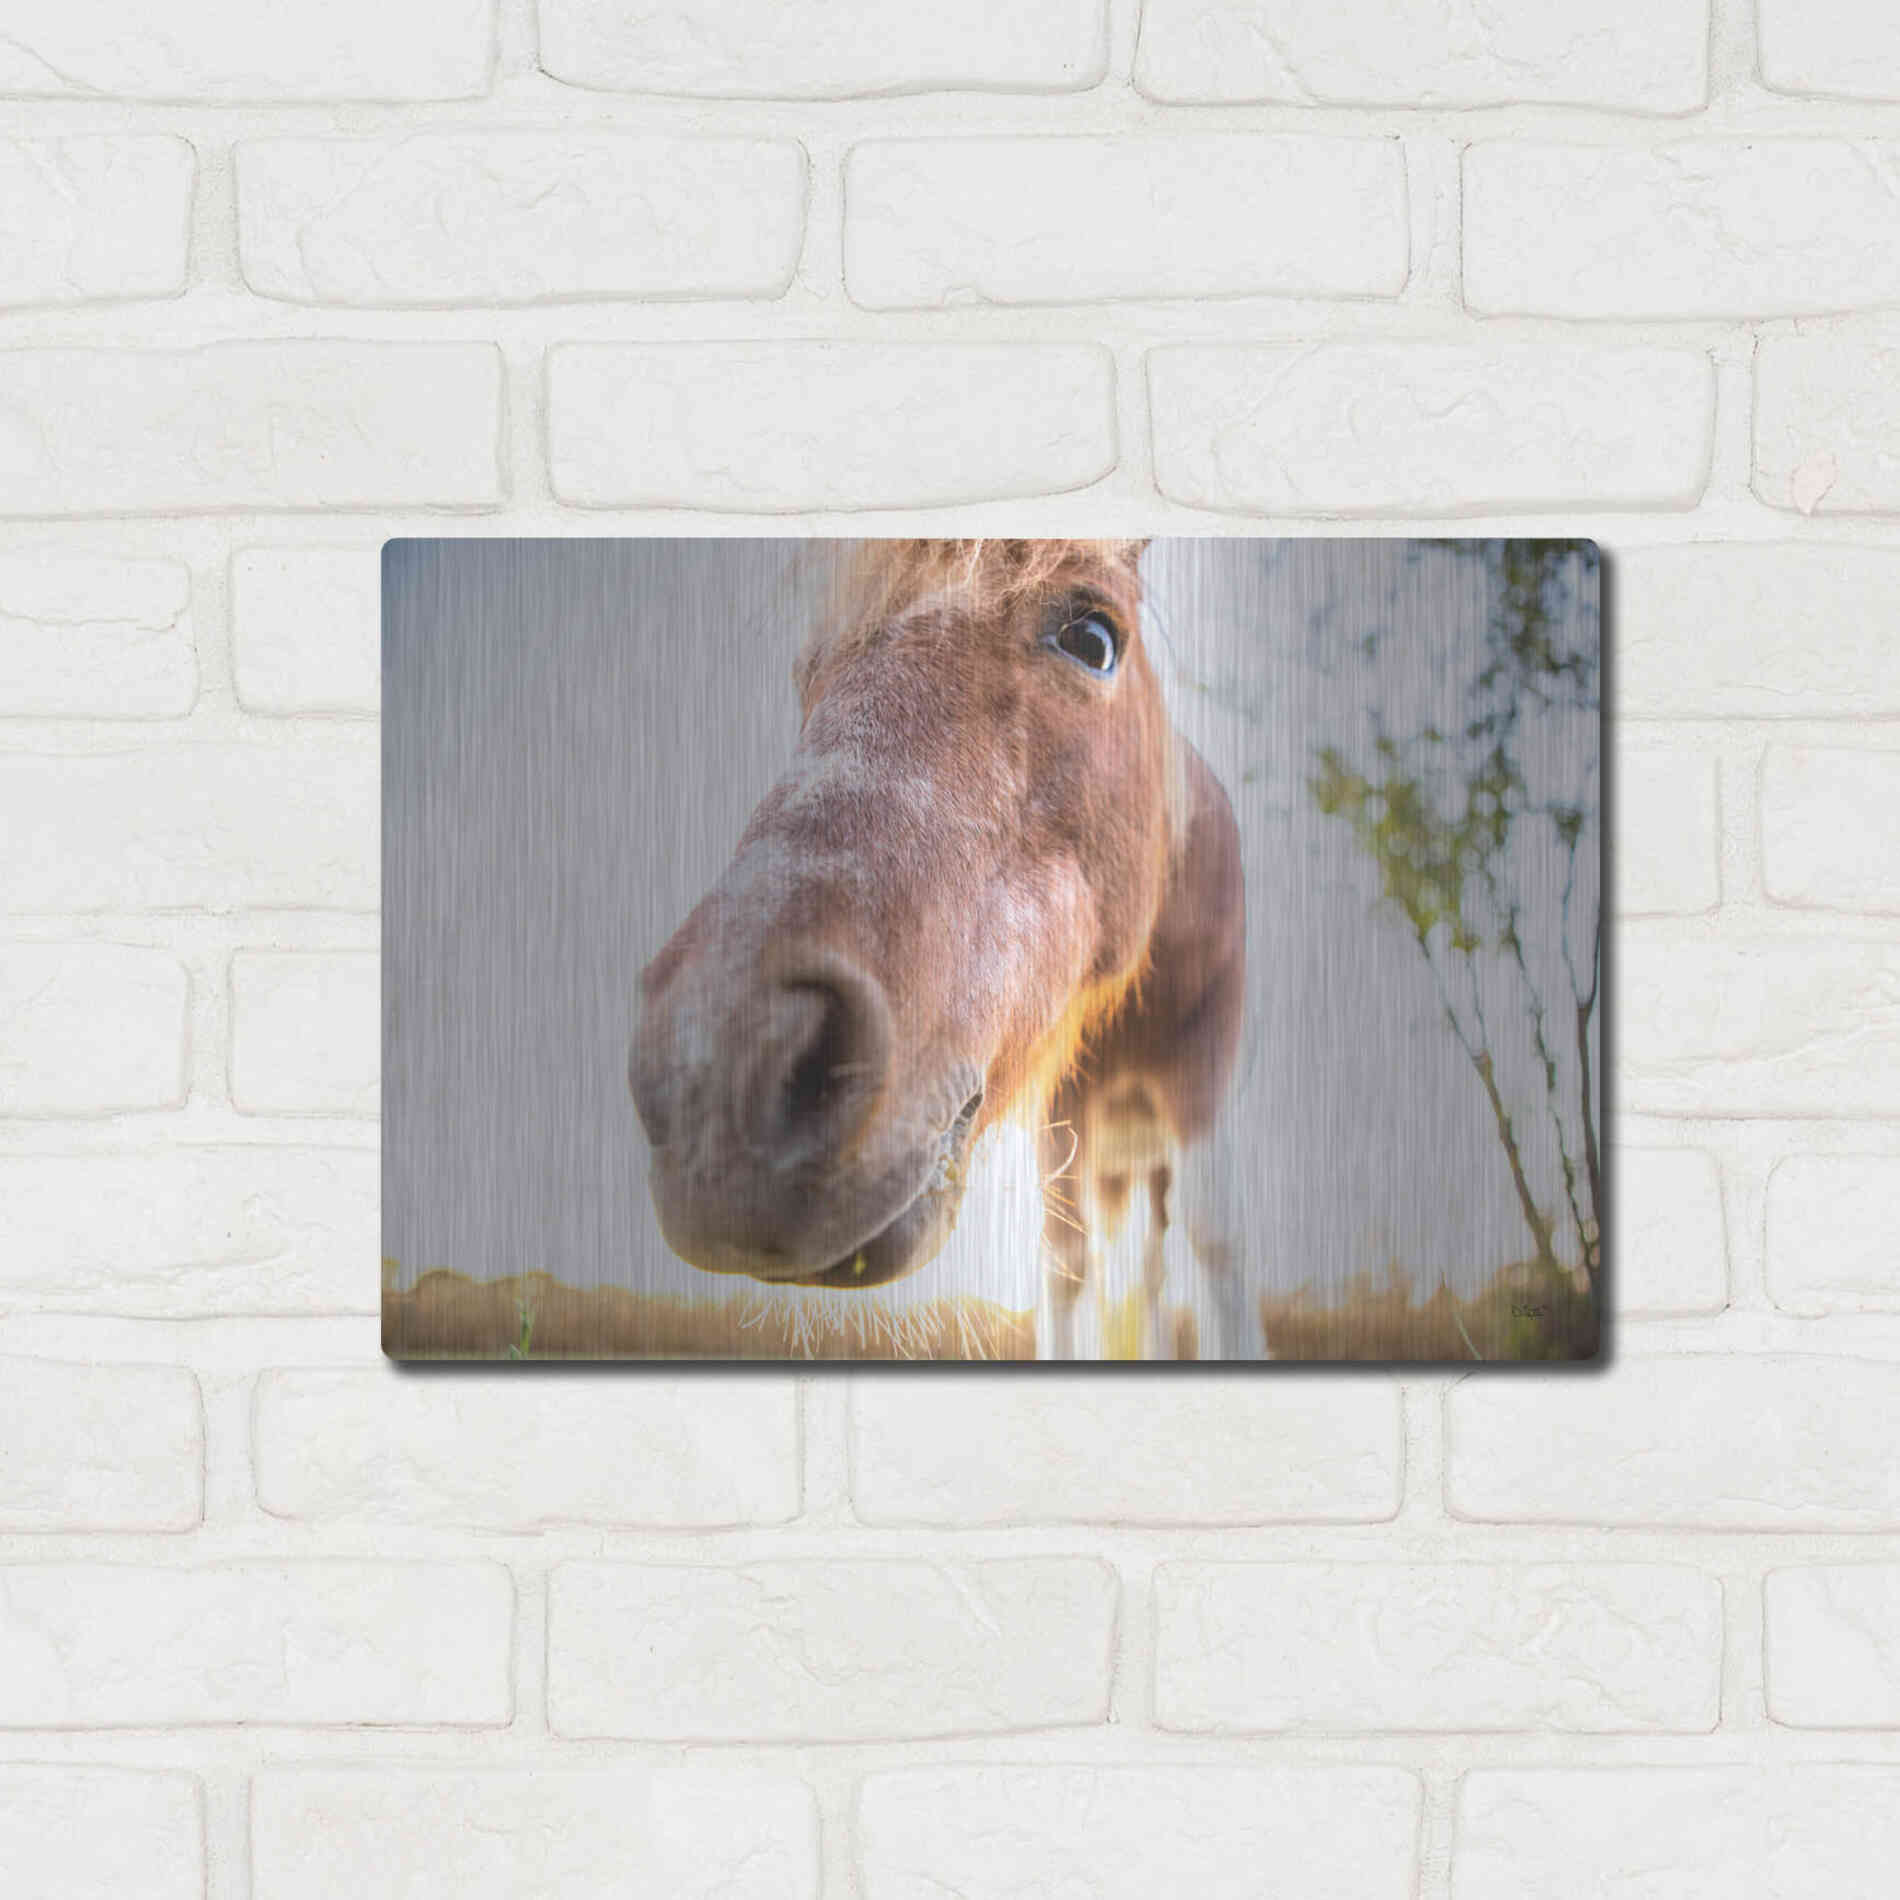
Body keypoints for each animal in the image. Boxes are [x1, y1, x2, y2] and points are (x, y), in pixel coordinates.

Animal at [628, 538, 1250, 1358]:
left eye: (1092, 638)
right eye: (808, 670)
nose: (713, 1070)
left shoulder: (1201, 1074)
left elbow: (1213, 1249)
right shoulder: (1061, 1115)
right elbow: (1065, 1265)